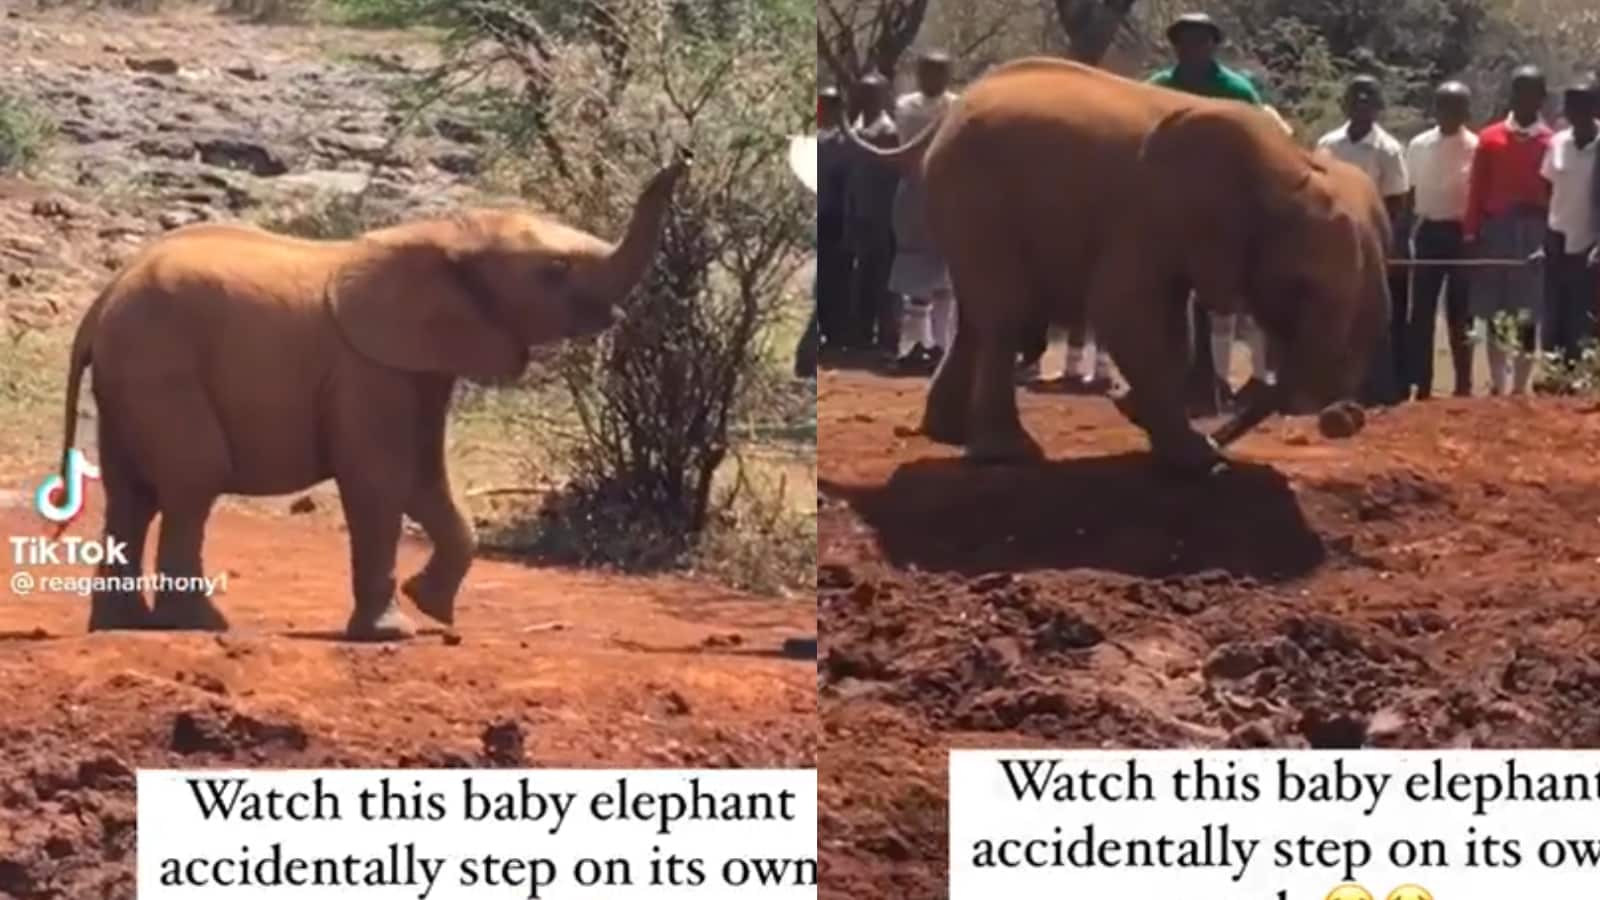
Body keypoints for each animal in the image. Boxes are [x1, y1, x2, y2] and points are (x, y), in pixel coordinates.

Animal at [50, 153, 689, 640]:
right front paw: (392, 634)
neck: (446, 233)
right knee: (193, 479)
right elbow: (379, 481)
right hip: (161, 365)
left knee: (134, 494)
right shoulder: (368, 370)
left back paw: (123, 626)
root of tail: (100, 305)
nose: (680, 159)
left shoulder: (420, 367)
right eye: (554, 269)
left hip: (132, 375)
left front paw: (431, 608)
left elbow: (426, 480)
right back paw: (202, 624)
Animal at [851, 58, 1389, 472]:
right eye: (1302, 286)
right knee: (1003, 313)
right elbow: (1125, 313)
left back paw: (950, 433)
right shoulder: (1149, 212)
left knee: (980, 315)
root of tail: (945, 117)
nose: (1221, 442)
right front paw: (1195, 458)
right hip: (971, 194)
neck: (1285, 164)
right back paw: (1006, 453)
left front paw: (1152, 423)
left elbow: (1165, 323)